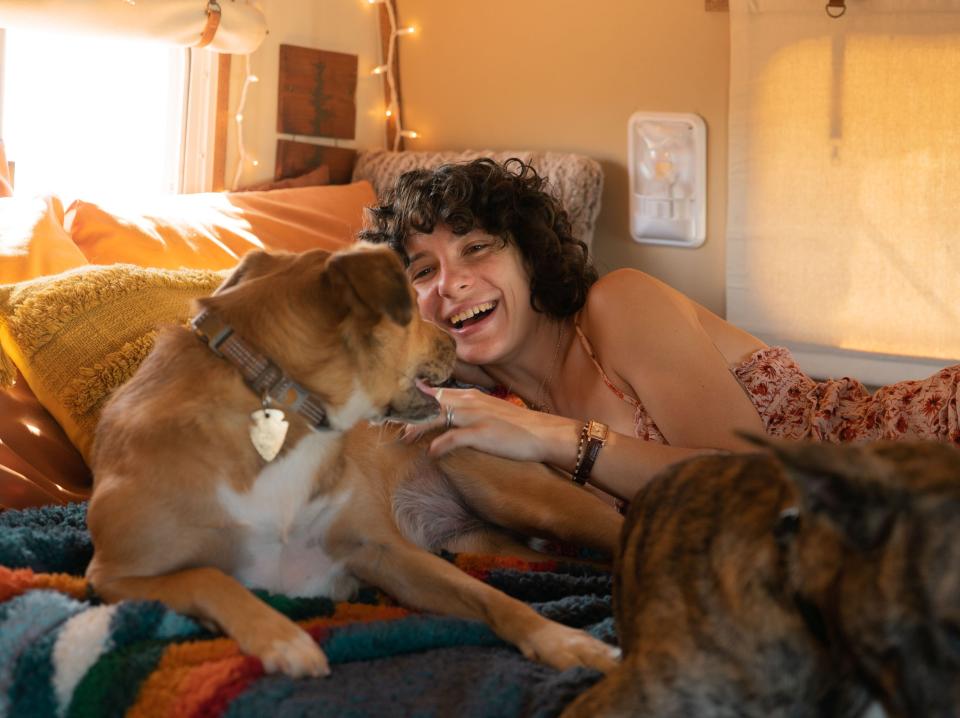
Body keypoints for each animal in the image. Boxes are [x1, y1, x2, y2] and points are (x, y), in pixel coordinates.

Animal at [84, 246, 624, 680]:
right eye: (412, 307)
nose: (455, 341)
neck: (286, 420)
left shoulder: (385, 551)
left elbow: (493, 598)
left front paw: (563, 640)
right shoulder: (113, 575)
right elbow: (208, 576)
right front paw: (282, 637)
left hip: (523, 495)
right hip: (491, 545)